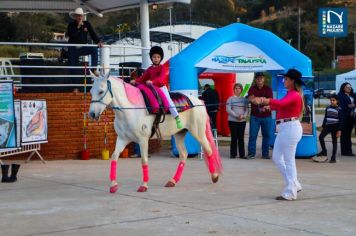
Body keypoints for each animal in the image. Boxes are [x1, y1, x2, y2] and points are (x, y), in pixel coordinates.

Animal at [88, 72, 222, 194]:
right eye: (91, 91)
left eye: (101, 91)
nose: (92, 114)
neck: (131, 110)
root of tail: (198, 101)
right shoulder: (122, 139)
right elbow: (114, 157)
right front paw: (113, 185)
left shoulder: (142, 140)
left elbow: (144, 160)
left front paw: (144, 185)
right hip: (179, 134)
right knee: (184, 154)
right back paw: (173, 181)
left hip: (198, 133)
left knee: (209, 150)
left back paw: (215, 176)